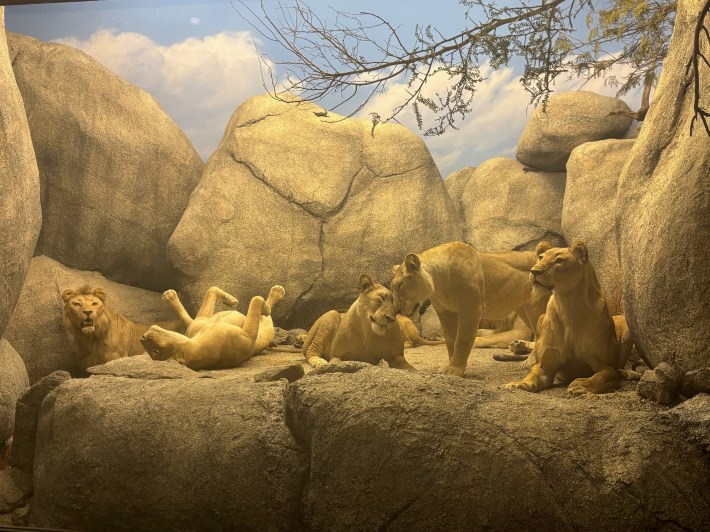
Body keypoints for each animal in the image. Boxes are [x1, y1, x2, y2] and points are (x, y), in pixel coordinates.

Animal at [140, 285, 284, 370]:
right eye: (156, 352)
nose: (143, 337)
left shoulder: (200, 322)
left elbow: (211, 290)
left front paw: (230, 300)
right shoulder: (246, 336)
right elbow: (256, 300)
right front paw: (266, 308)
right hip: (266, 330)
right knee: (265, 316)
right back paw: (275, 294)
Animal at [390, 242, 551, 377]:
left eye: (400, 286)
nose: (397, 310)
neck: (439, 282)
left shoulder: (472, 309)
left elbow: (463, 340)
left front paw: (455, 370)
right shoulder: (445, 313)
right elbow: (451, 341)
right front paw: (451, 365)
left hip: (536, 310)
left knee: (541, 334)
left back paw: (529, 362)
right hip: (524, 311)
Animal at [503, 240, 634, 395]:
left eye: (559, 260)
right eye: (541, 257)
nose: (534, 271)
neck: (567, 305)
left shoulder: (604, 364)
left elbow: (605, 374)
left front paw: (582, 384)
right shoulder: (546, 365)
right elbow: (533, 375)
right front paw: (517, 384)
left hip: (626, 325)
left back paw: (629, 373)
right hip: (541, 317)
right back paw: (521, 351)